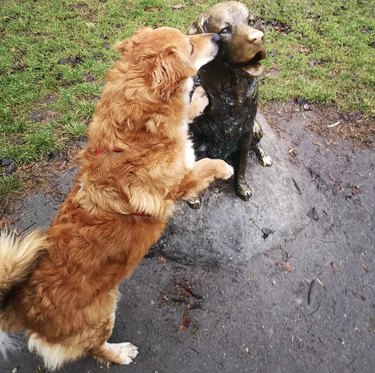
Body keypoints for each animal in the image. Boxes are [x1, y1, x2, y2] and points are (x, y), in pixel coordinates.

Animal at [0, 26, 234, 370]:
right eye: (190, 46)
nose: (218, 37)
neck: (136, 126)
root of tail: (22, 308)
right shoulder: (174, 187)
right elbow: (203, 166)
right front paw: (224, 167)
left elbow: (186, 117)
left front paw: (198, 100)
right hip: (103, 313)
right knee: (95, 349)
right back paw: (121, 353)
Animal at [188, 0, 274, 206]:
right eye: (225, 30)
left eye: (251, 21)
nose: (259, 38)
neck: (230, 94)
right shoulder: (192, 133)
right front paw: (193, 197)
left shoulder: (247, 130)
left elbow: (242, 165)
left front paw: (242, 187)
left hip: (257, 128)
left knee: (257, 145)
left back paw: (264, 157)